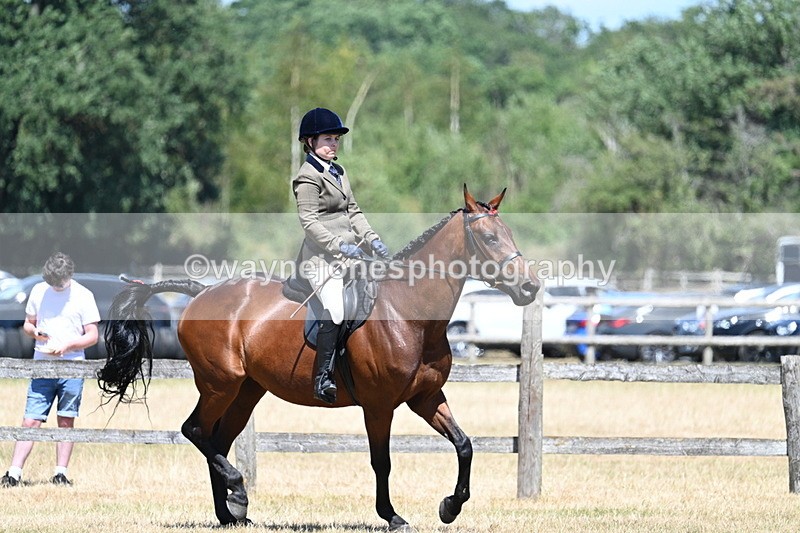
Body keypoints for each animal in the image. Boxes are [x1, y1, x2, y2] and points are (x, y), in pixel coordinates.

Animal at [96, 185, 539, 531]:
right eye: (490, 239)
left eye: (509, 233)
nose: (531, 288)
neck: (408, 312)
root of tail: (200, 291)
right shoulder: (379, 405)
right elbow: (382, 462)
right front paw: (392, 516)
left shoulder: (425, 398)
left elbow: (464, 445)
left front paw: (450, 507)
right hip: (218, 384)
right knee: (195, 431)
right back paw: (237, 491)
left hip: (246, 391)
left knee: (216, 439)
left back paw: (232, 512)